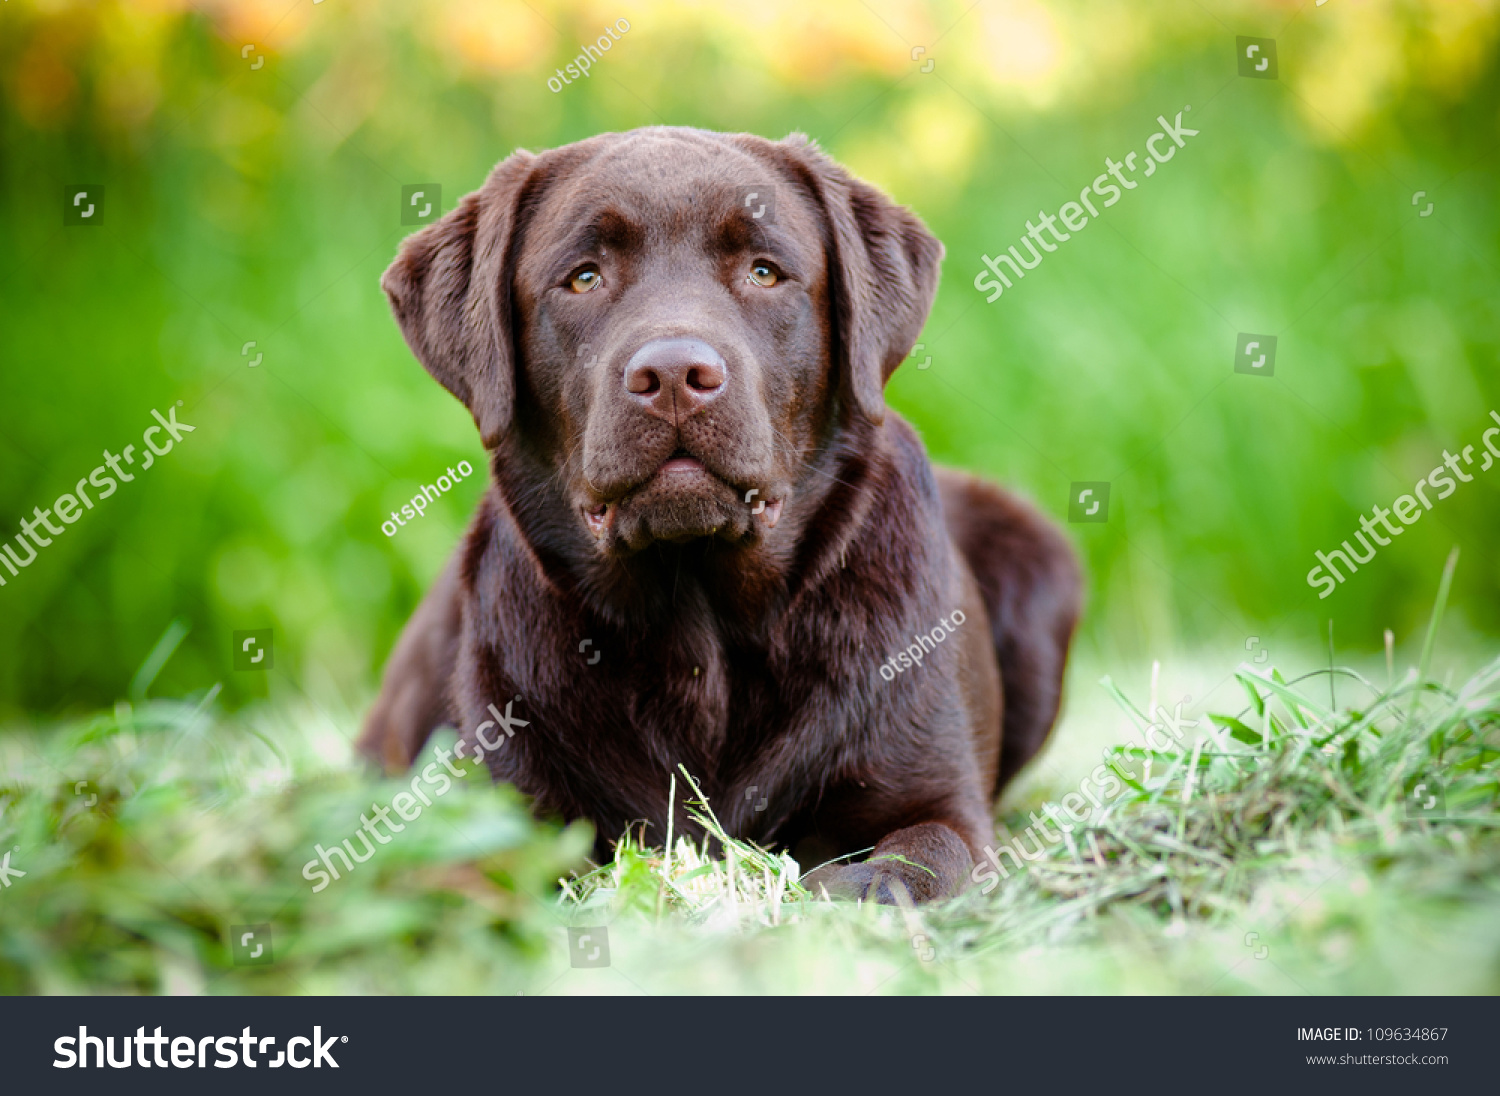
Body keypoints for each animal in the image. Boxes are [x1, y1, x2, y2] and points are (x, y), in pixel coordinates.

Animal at [363, 124, 1086, 905]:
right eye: (583, 278)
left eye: (764, 272)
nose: (674, 375)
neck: (700, 624)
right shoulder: (502, 809)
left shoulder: (940, 799)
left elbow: (924, 855)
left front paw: (863, 886)